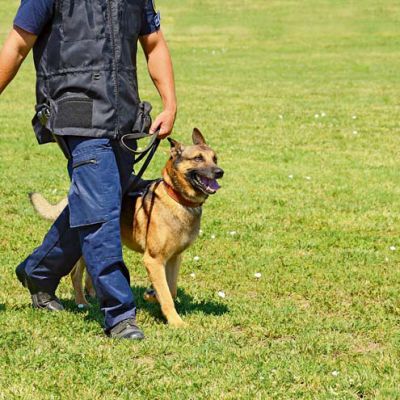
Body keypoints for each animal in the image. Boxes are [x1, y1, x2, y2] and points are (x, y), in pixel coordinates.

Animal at [30, 130, 225, 326]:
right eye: (198, 158)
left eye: (215, 158)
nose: (220, 172)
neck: (177, 198)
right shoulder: (153, 260)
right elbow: (165, 293)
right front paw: (176, 322)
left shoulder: (174, 258)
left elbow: (171, 290)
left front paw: (154, 296)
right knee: (75, 275)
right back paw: (81, 302)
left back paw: (93, 294)